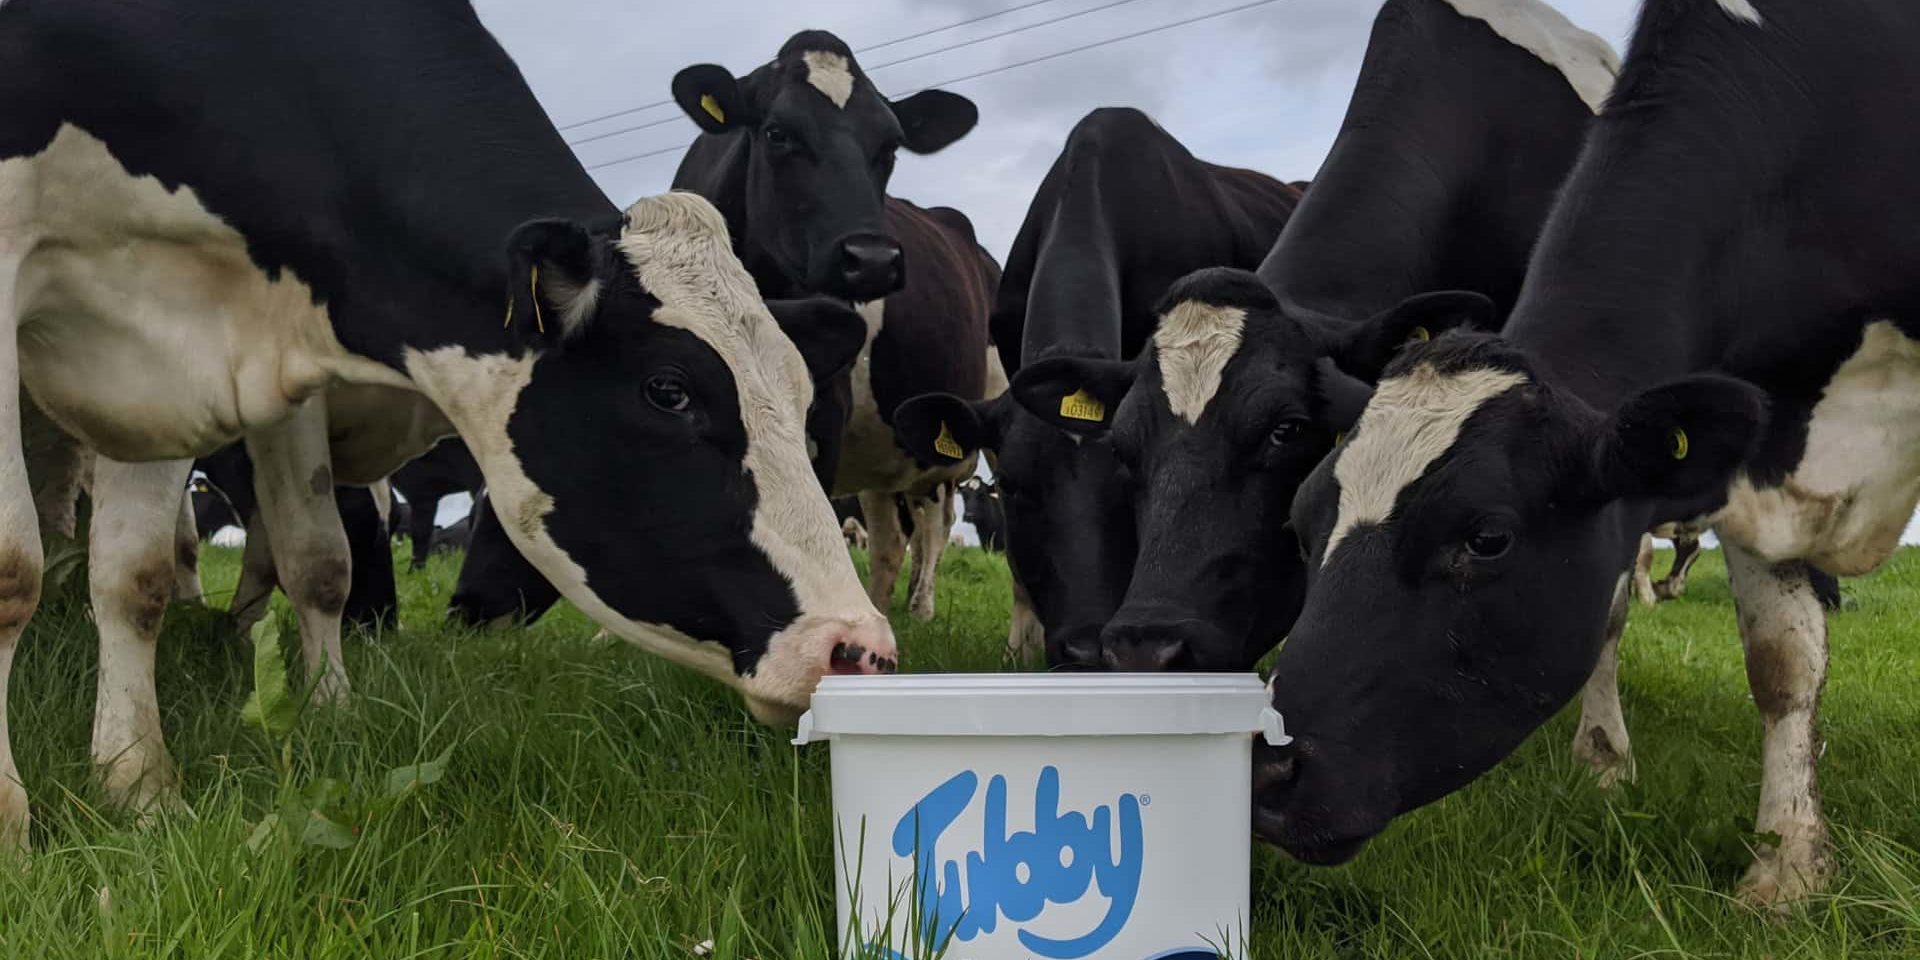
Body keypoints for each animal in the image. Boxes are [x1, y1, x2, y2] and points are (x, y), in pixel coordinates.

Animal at [3, 0, 887, 852]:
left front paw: (143, 788)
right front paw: (15, 817)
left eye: (802, 401)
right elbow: (15, 570)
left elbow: (165, 576)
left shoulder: (183, 355)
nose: (858, 648)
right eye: (669, 390)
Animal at [1259, 0, 1920, 906]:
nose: (1266, 767)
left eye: (1487, 537)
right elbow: (1781, 659)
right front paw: (1787, 861)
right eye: (1299, 524)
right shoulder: (1755, 448)